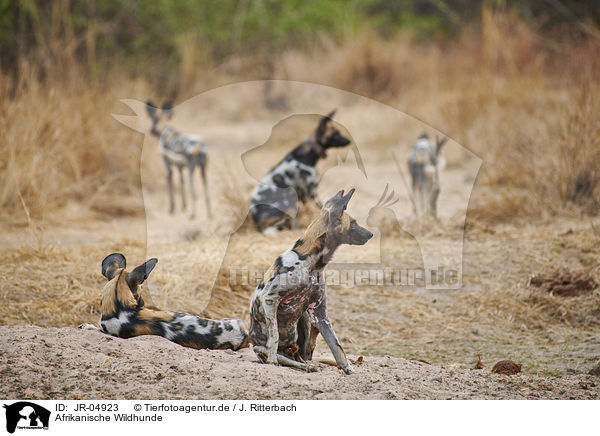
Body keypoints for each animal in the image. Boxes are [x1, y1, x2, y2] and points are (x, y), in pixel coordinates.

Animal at [247, 189, 370, 372]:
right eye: (354, 223)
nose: (371, 234)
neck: (313, 263)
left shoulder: (319, 313)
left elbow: (337, 346)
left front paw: (347, 368)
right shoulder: (269, 298)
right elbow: (274, 337)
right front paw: (272, 361)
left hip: (306, 319)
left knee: (304, 357)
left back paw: (308, 364)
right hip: (260, 347)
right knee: (285, 358)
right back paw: (302, 366)